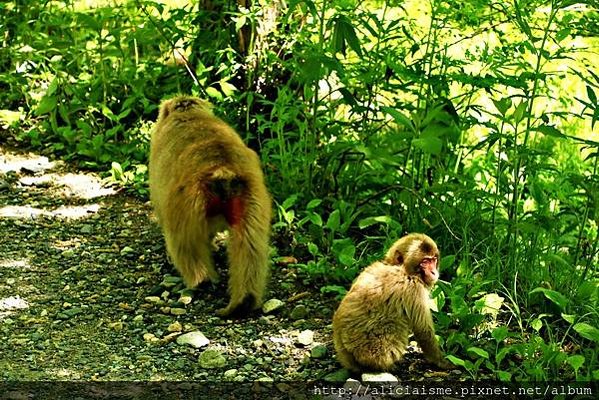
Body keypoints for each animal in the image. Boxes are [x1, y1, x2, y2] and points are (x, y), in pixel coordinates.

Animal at [149, 95, 274, 318]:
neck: (188, 113)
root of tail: (221, 170)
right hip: (252, 201)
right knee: (251, 246)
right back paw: (244, 300)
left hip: (185, 203)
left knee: (185, 243)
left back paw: (201, 279)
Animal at [330, 233, 452, 374]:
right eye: (425, 262)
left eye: (433, 260)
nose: (433, 272)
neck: (400, 268)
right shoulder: (414, 288)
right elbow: (423, 331)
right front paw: (441, 362)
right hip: (372, 349)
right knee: (395, 327)